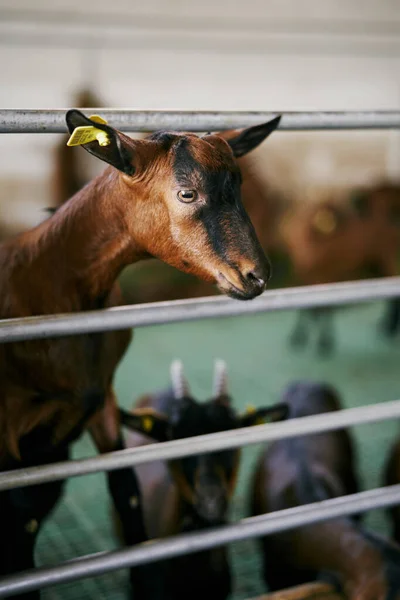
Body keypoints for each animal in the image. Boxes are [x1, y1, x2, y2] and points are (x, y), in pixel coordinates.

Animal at [0, 110, 282, 596]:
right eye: (187, 192)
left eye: (240, 185)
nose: (256, 276)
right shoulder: (11, 427)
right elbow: (21, 518)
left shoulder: (103, 403)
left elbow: (127, 494)